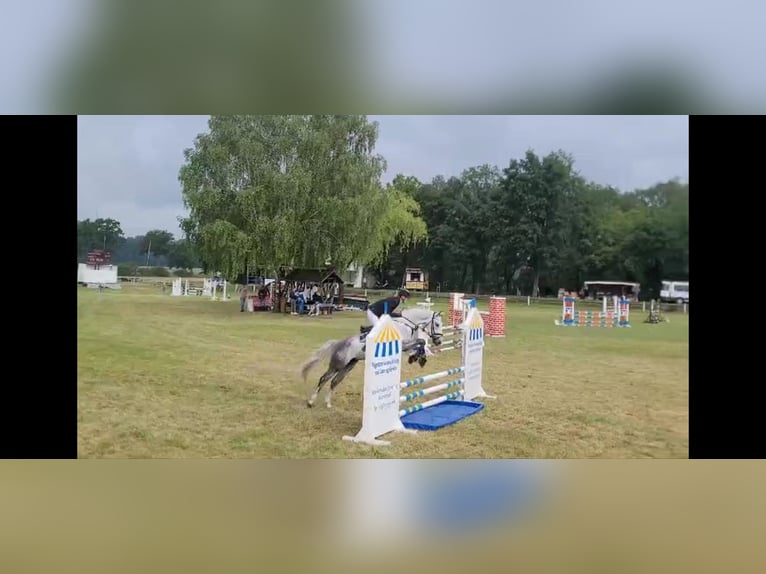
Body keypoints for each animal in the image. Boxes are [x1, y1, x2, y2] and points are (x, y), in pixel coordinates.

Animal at [304, 310, 448, 410]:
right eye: (437, 324)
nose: (439, 341)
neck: (405, 325)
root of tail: (340, 343)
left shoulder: (406, 346)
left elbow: (420, 342)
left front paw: (418, 358)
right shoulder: (403, 345)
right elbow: (420, 341)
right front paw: (417, 358)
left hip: (349, 366)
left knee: (334, 382)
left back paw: (328, 403)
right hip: (338, 365)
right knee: (324, 379)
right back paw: (311, 402)